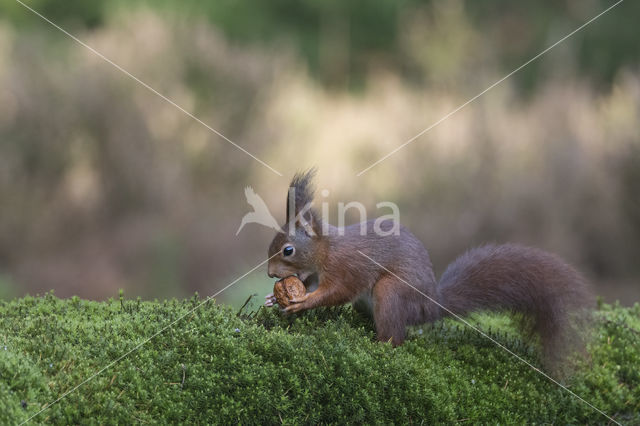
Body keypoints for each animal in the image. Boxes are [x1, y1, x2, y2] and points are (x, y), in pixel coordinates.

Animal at [264, 170, 592, 366]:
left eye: (288, 250)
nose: (269, 274)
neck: (327, 250)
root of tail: (431, 305)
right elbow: (310, 282)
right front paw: (273, 297)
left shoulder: (348, 267)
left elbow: (338, 291)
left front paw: (303, 302)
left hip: (391, 292)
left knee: (396, 337)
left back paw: (380, 347)